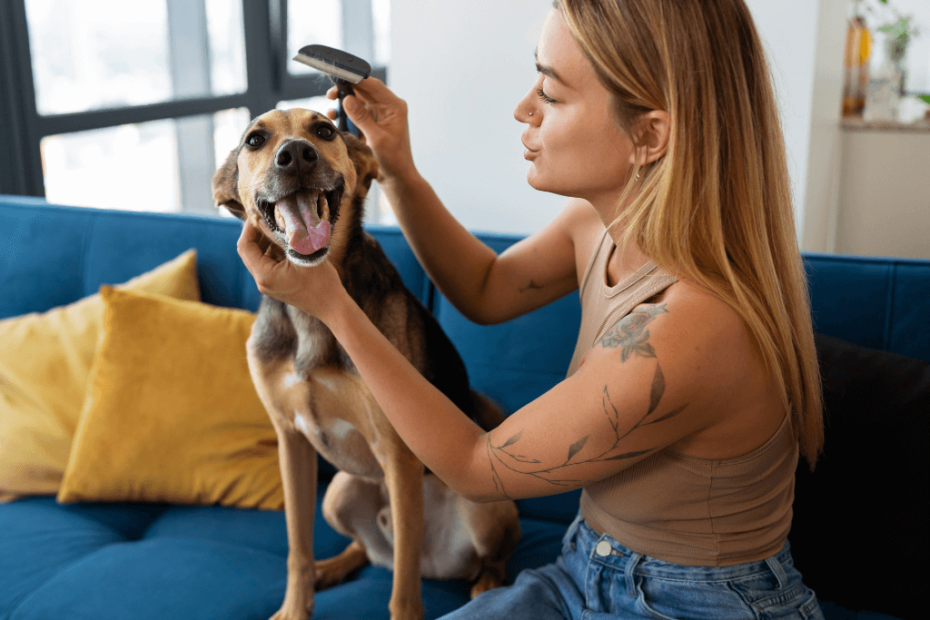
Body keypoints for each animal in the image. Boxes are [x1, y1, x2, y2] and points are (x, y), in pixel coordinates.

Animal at [211, 108, 520, 620]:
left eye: (324, 130)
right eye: (255, 139)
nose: (296, 155)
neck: (312, 317)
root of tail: (439, 565)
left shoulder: (398, 455)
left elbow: (403, 591)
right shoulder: (290, 441)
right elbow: (297, 547)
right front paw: (296, 606)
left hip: (485, 508)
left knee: (458, 557)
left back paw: (486, 584)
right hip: (339, 493)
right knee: (370, 551)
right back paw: (333, 567)